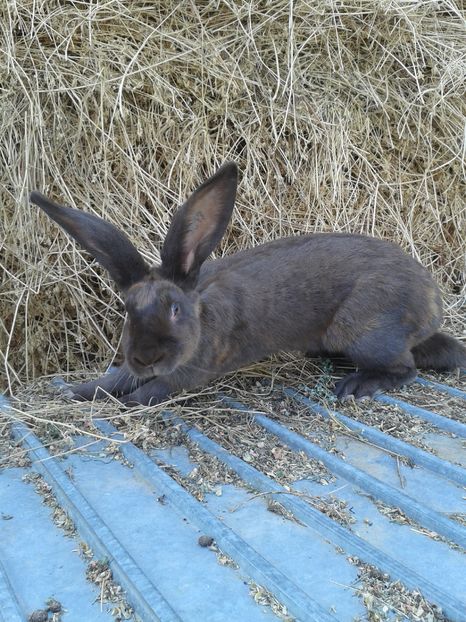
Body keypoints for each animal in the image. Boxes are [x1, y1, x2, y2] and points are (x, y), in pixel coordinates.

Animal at [30, 161, 466, 408]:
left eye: (174, 309)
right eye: (126, 310)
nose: (146, 357)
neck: (201, 315)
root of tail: (433, 303)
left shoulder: (189, 371)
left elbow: (154, 389)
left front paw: (129, 402)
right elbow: (114, 380)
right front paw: (76, 391)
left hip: (366, 331)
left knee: (406, 369)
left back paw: (356, 386)